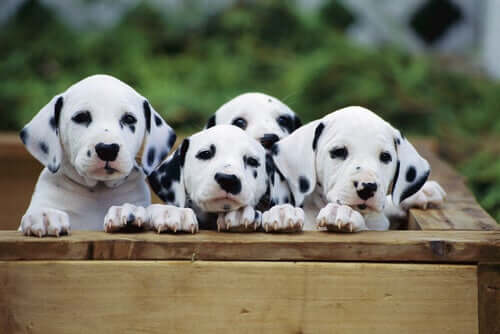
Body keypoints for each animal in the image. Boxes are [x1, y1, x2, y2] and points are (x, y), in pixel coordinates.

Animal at [19, 74, 176, 236]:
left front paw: (128, 211)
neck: (97, 192)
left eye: (129, 119)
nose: (107, 149)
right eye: (81, 117)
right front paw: (45, 215)